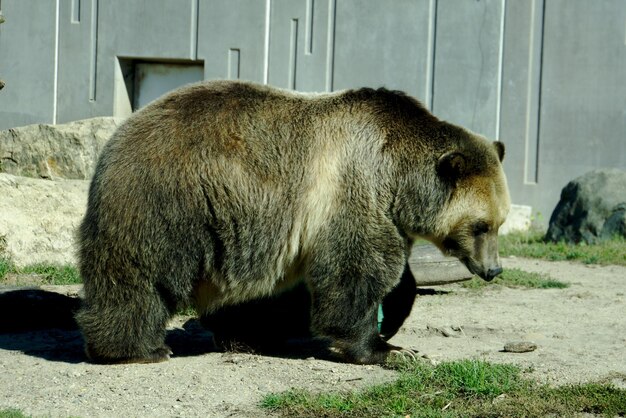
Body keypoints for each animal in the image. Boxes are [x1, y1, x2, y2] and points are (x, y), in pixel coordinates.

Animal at [75, 80, 510, 364]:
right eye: (481, 225)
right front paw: (386, 348)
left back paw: (242, 337)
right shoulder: (354, 188)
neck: (398, 178)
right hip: (171, 203)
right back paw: (139, 349)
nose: (493, 269)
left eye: (500, 223)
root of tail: (117, 138)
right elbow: (356, 272)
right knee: (140, 279)